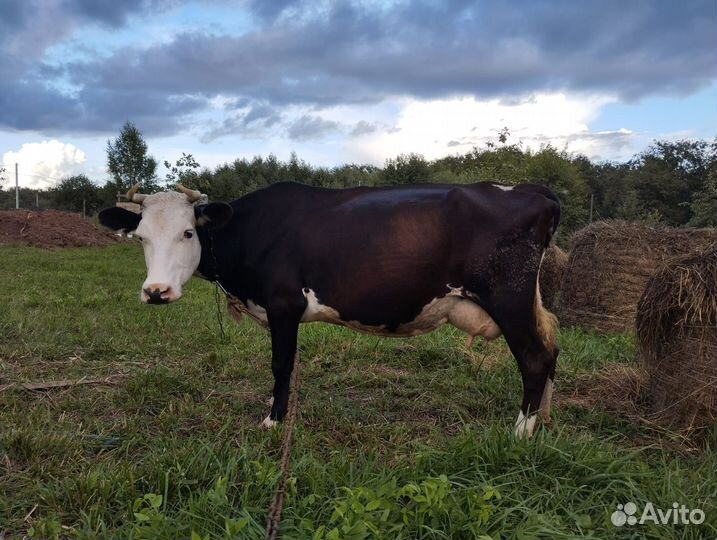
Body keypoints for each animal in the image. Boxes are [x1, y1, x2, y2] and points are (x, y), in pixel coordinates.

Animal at [99, 181, 560, 438]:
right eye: (140, 236)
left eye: (188, 232)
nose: (156, 291)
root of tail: (529, 190)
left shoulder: (284, 305)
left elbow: (281, 364)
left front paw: (274, 421)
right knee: (551, 350)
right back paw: (542, 420)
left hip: (509, 299)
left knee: (535, 359)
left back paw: (520, 431)